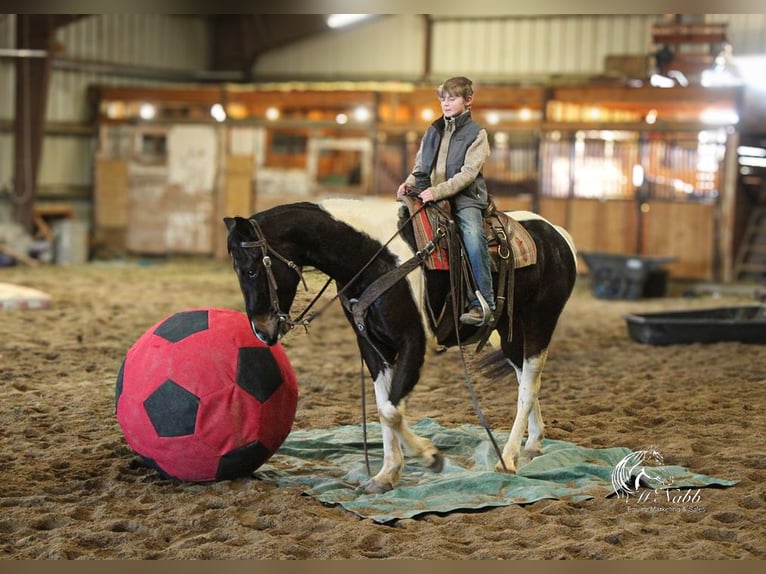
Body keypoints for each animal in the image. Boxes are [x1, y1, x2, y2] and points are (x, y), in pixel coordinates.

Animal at [225, 199, 580, 496]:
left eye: (251, 269)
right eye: (238, 271)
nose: (262, 331)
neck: (373, 257)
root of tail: (558, 233)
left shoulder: (414, 341)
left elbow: (392, 410)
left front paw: (430, 457)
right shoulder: (372, 346)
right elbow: (385, 407)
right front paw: (387, 474)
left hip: (539, 321)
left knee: (528, 384)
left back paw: (508, 457)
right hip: (509, 331)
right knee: (527, 380)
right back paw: (532, 443)